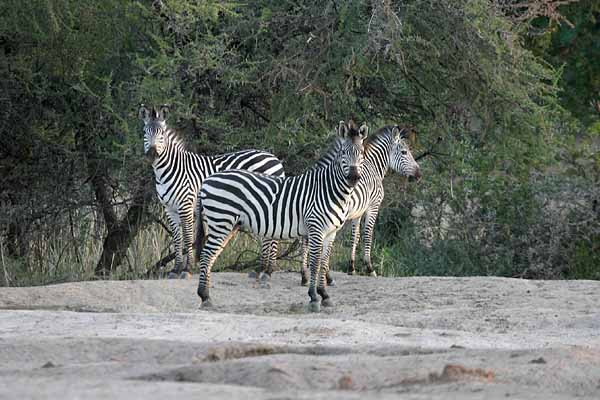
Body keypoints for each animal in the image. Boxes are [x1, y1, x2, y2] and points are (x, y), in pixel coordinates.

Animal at [139, 105, 284, 278]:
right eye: (145, 132)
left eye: (161, 134)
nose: (152, 154)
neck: (170, 169)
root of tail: (274, 158)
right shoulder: (169, 209)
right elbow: (177, 239)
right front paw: (175, 269)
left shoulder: (186, 205)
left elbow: (188, 237)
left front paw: (187, 269)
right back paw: (261, 269)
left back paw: (268, 270)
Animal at [195, 120, 368, 310]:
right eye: (344, 153)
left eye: (362, 153)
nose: (354, 177)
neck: (328, 189)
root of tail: (207, 180)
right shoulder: (316, 229)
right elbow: (315, 264)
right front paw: (314, 297)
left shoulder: (331, 232)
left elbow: (323, 264)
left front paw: (325, 295)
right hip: (221, 221)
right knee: (206, 255)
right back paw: (204, 296)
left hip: (228, 225)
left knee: (211, 256)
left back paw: (206, 296)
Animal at [296, 125, 420, 284]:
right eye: (404, 152)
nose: (419, 174)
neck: (373, 166)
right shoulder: (373, 206)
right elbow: (368, 235)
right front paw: (369, 268)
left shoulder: (357, 212)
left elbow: (355, 237)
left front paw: (352, 267)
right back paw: (324, 275)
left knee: (306, 240)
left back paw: (305, 275)